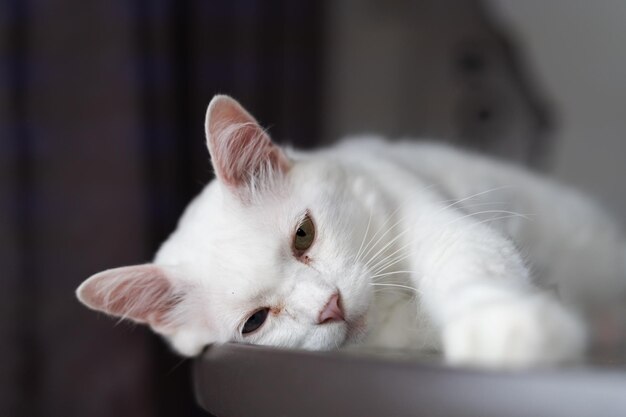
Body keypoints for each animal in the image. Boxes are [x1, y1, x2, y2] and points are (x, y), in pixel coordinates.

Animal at [74, 95, 624, 368]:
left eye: (303, 235)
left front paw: (506, 323)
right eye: (255, 323)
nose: (329, 306)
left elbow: (469, 262)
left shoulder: (428, 215)